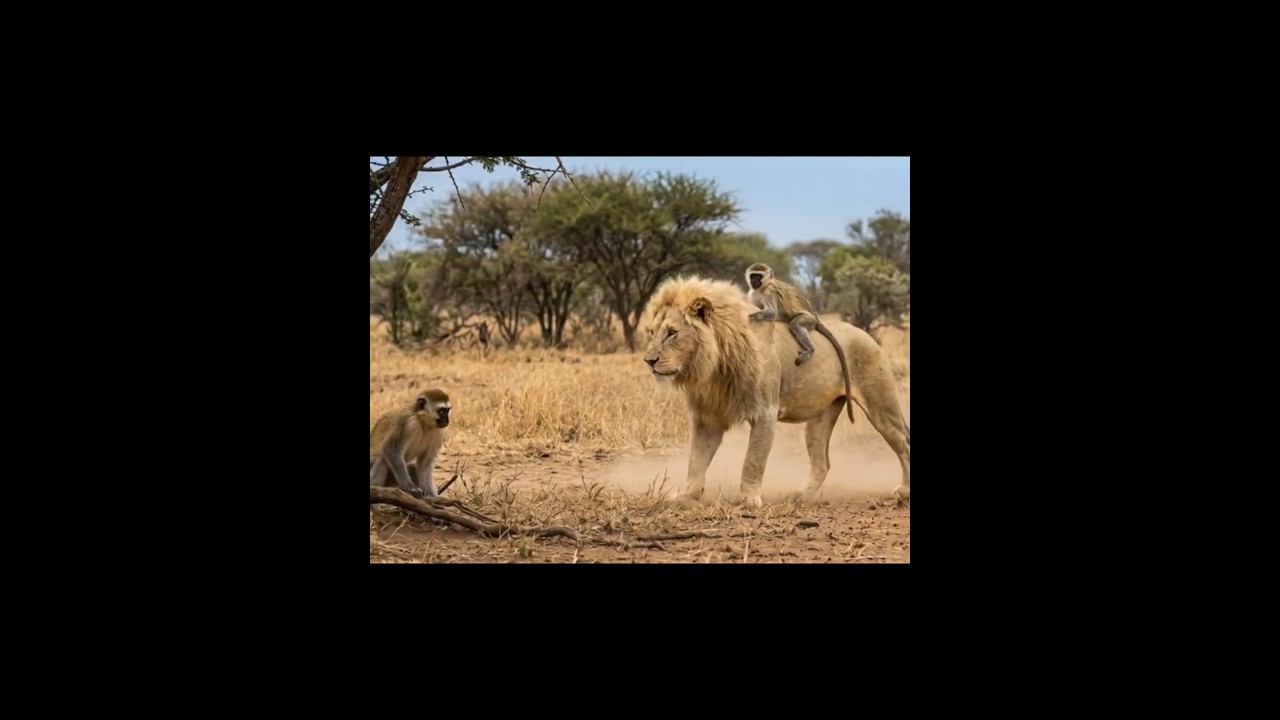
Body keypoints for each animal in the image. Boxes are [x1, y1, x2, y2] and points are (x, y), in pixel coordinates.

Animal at [745, 262, 862, 423]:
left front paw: (756, 316)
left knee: (795, 324)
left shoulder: (769, 292)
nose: (754, 281)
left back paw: (810, 349)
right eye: (753, 276)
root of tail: (815, 316)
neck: (762, 287)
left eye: (758, 276)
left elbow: (772, 312)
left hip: (808, 320)